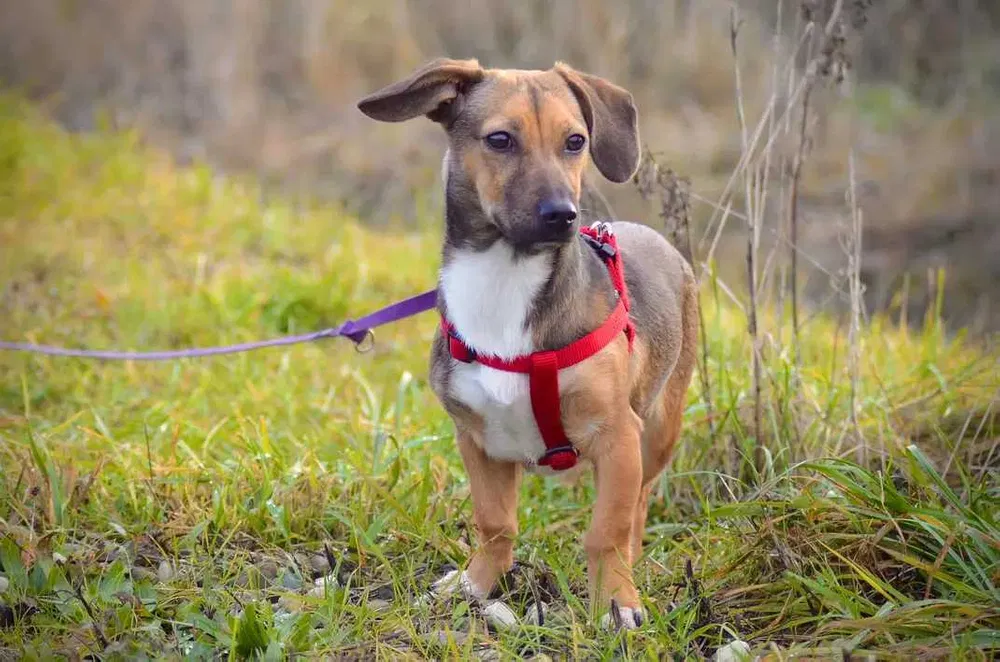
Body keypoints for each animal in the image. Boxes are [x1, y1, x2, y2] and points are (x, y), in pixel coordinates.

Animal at [358, 59, 696, 632]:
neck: (506, 279)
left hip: (658, 431)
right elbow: (496, 523)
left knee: (638, 506)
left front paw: (615, 601)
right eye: (500, 139)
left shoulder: (617, 436)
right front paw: (475, 585)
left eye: (575, 141)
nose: (563, 214)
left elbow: (606, 531)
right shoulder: (476, 438)